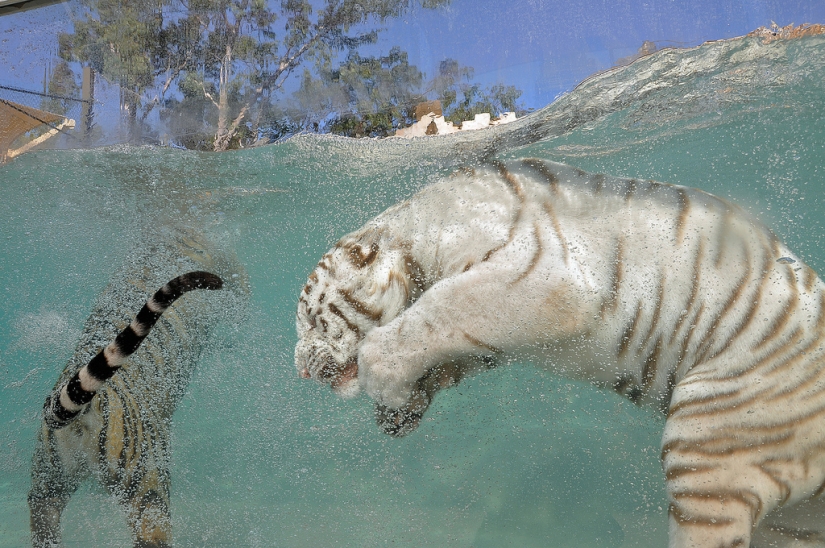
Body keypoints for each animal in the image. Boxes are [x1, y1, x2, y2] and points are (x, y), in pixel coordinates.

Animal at [295, 158, 825, 548]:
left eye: (311, 321)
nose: (299, 370)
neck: (416, 238)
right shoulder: (490, 338)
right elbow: (449, 347)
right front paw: (398, 410)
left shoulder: (536, 277)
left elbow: (440, 309)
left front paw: (379, 370)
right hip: (793, 517)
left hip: (708, 442)